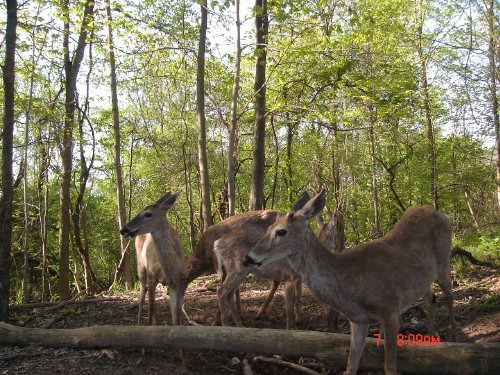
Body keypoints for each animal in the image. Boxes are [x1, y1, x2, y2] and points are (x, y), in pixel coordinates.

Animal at [120, 192, 185, 328]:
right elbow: (149, 312)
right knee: (142, 296)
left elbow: (176, 319)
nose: (124, 229)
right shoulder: (151, 277)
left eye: (148, 214)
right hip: (141, 268)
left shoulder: (175, 282)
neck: (168, 268)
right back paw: (139, 323)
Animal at [243, 191, 458, 375]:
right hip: (423, 280)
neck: (353, 285)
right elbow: (351, 366)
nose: (248, 258)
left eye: (281, 231)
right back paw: (431, 339)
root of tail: (442, 214)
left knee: (449, 296)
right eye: (268, 228)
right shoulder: (357, 319)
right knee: (430, 300)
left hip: (444, 262)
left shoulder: (390, 310)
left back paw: (454, 338)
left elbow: (390, 368)